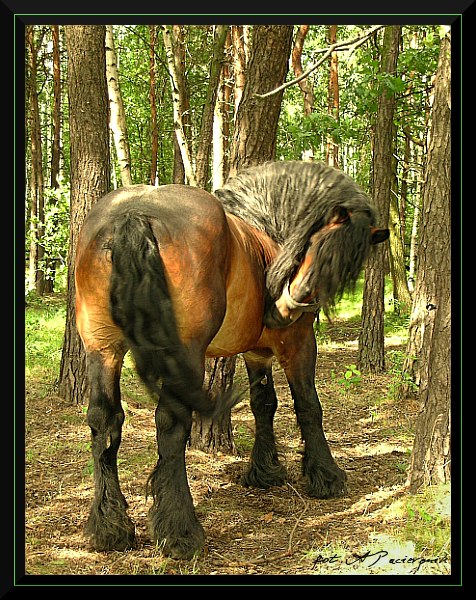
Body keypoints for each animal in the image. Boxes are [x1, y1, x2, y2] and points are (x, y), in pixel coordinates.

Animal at [73, 159, 386, 556]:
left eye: (348, 265)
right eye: (319, 244)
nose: (292, 306)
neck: (268, 235)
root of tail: (134, 213)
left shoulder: (256, 353)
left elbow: (263, 404)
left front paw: (264, 471)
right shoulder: (299, 343)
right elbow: (308, 406)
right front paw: (324, 476)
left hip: (102, 347)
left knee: (104, 422)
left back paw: (109, 528)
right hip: (184, 353)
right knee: (170, 426)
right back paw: (180, 530)